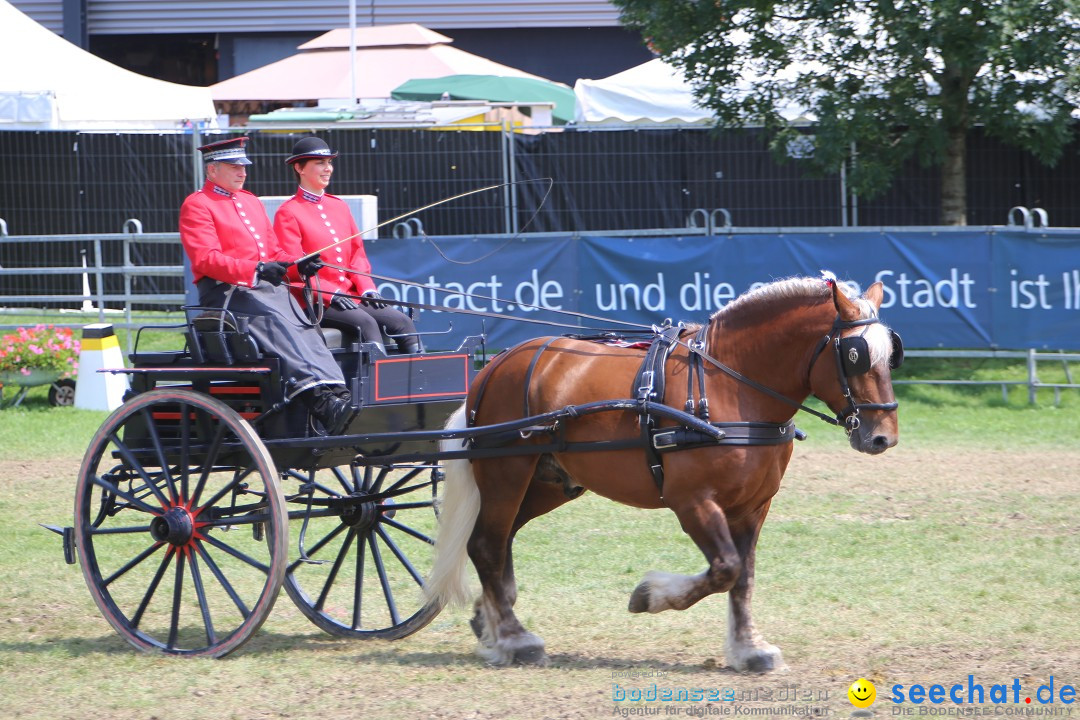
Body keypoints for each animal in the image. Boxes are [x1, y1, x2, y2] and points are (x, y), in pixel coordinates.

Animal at [425, 274, 898, 669]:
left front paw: (748, 648)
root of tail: (493, 367)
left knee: (497, 541)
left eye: (892, 353)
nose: (883, 438)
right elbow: (725, 568)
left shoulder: (753, 507)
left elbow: (743, 577)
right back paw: (514, 639)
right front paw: (649, 596)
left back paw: (488, 623)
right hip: (506, 473)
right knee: (486, 545)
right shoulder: (692, 502)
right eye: (854, 355)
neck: (730, 385)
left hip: (546, 484)